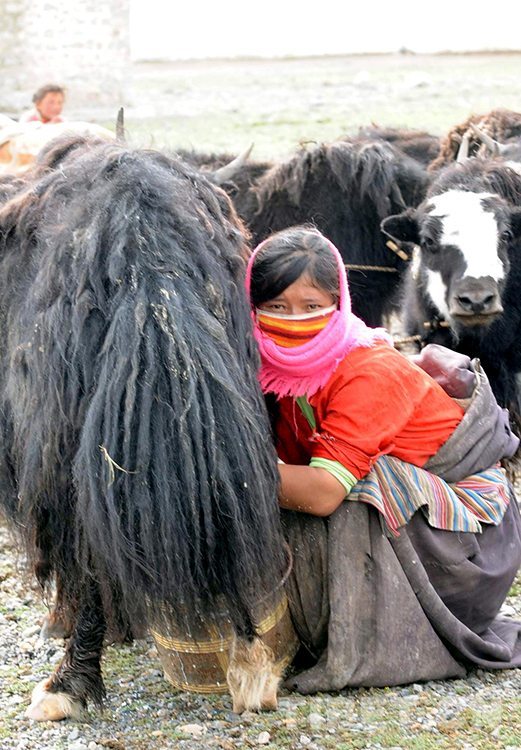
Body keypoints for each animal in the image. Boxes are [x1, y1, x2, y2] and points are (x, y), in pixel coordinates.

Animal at [0, 134, 288, 720]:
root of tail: (144, 242)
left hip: (63, 443)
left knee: (84, 552)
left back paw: (62, 687)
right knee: (239, 512)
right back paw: (253, 665)